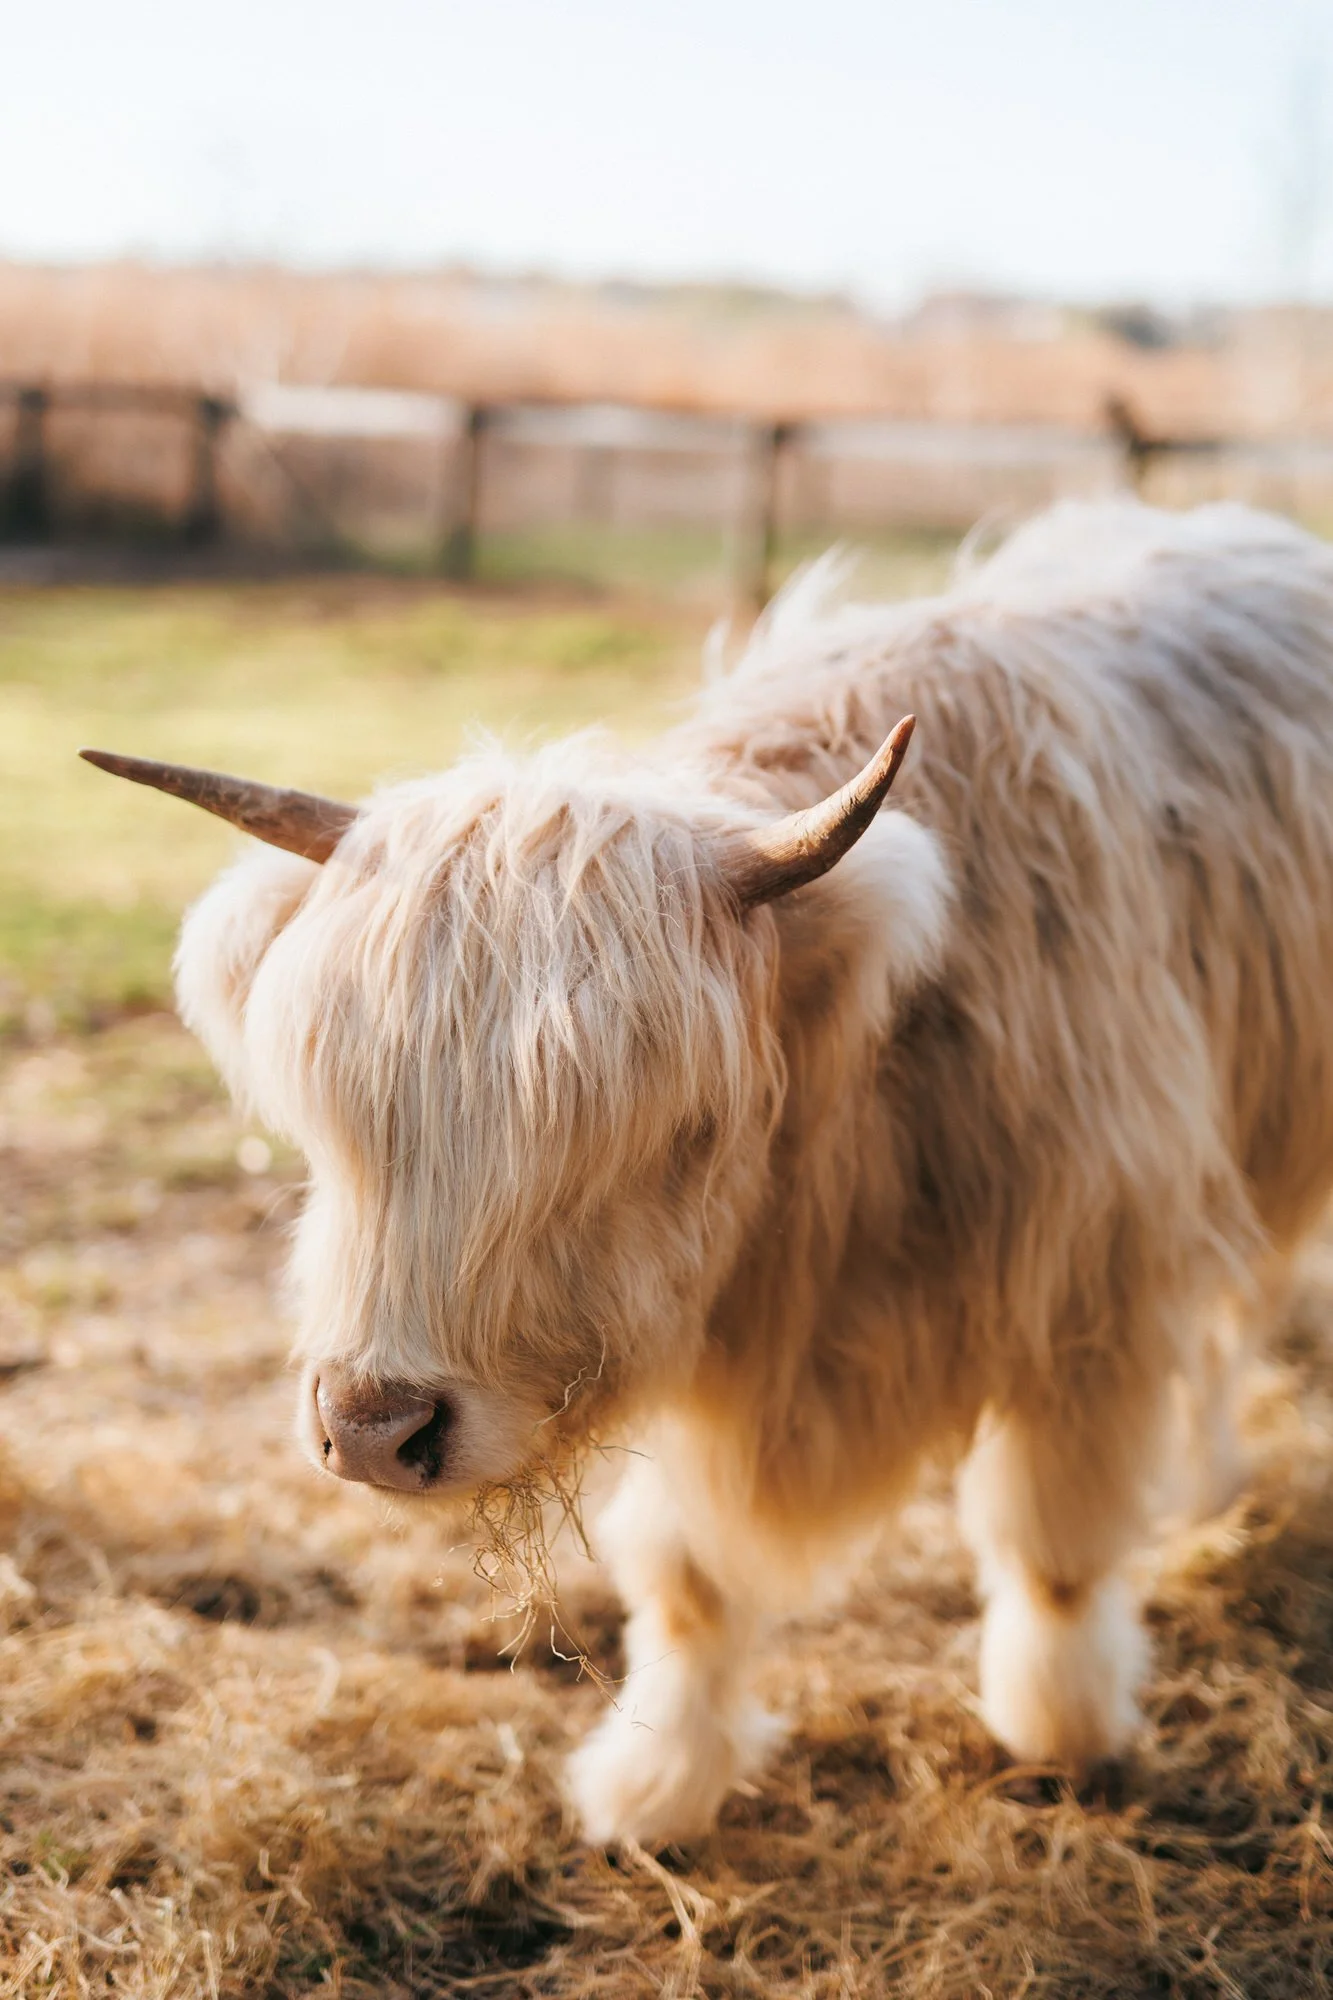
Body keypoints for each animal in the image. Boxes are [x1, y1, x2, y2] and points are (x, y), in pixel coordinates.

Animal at [83, 499, 1333, 1845]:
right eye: (336, 1122)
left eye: (672, 1127)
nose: (373, 1429)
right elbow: (687, 1579)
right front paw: (657, 1783)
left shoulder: (1092, 1295)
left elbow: (1054, 1544)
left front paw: (1064, 1730)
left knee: (1239, 1312)